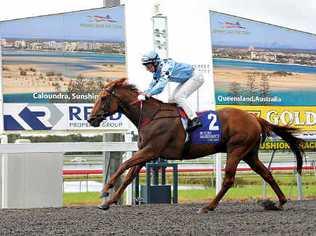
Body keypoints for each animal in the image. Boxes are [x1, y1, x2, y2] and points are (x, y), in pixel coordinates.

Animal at [88, 78, 304, 213]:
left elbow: (124, 166)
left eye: (103, 98)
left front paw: (105, 190)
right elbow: (128, 177)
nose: (91, 119)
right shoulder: (146, 152)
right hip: (249, 154)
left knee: (228, 180)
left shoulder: (151, 150)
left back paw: (208, 206)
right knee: (266, 173)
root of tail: (254, 117)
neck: (150, 116)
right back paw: (280, 202)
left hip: (236, 150)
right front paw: (108, 203)